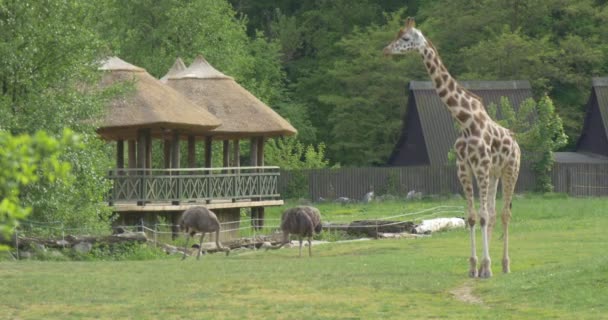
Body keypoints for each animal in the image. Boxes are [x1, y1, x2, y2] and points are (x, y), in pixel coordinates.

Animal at [388, 17, 520, 278]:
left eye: (406, 38)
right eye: (397, 35)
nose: (386, 49)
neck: (465, 121)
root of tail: (517, 144)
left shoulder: (480, 167)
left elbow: (481, 216)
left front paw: (486, 268)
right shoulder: (464, 168)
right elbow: (472, 217)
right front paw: (475, 266)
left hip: (510, 171)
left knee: (504, 214)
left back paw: (505, 264)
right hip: (495, 174)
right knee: (492, 214)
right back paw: (492, 264)